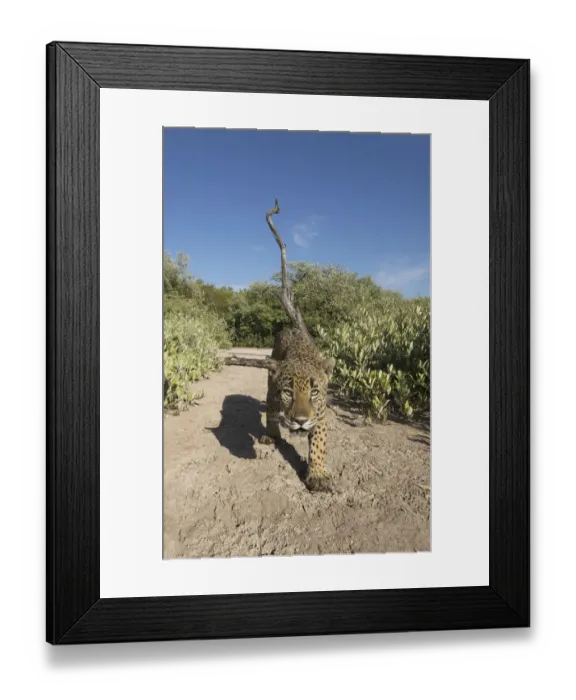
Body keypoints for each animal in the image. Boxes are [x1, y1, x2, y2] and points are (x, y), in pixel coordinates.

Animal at [259, 327, 336, 492]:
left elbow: (318, 444)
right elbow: (271, 412)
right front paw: (272, 435)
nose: (301, 421)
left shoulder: (320, 416)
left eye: (314, 392)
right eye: (288, 393)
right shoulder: (273, 394)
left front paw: (318, 475)